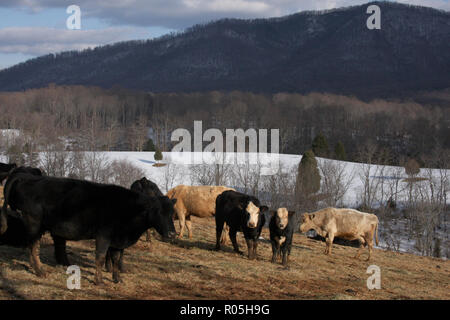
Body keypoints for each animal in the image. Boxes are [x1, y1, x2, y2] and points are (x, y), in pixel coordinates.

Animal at [1, 175, 176, 284]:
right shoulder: (104, 236)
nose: (173, 233)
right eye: (159, 212)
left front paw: (117, 279)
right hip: (34, 224)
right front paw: (99, 281)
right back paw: (40, 271)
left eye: (172, 212)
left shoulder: (118, 240)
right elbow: (100, 257)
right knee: (33, 247)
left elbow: (115, 258)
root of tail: (27, 178)